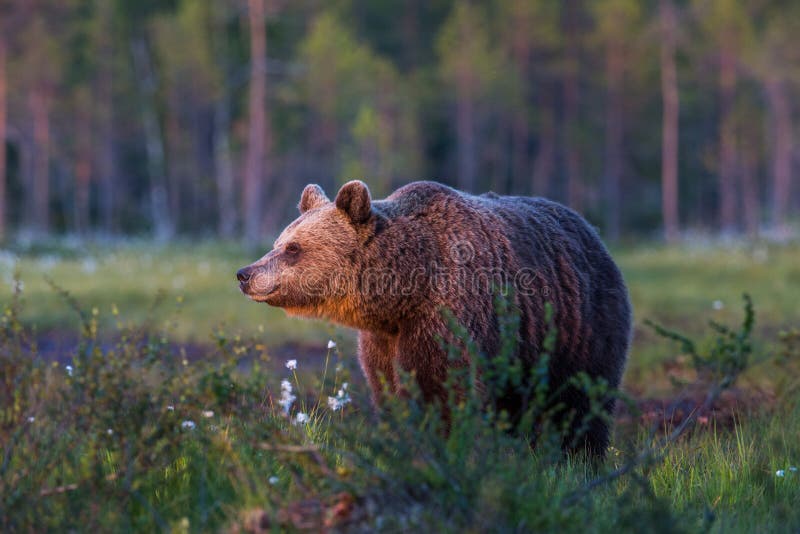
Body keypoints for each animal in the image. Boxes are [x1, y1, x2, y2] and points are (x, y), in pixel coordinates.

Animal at [238, 181, 632, 456]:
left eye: (293, 248)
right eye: (278, 242)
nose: (245, 273)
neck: (406, 290)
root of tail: (591, 231)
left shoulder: (449, 314)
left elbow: (442, 388)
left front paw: (441, 444)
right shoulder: (384, 339)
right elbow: (388, 389)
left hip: (579, 328)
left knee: (580, 402)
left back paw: (579, 458)